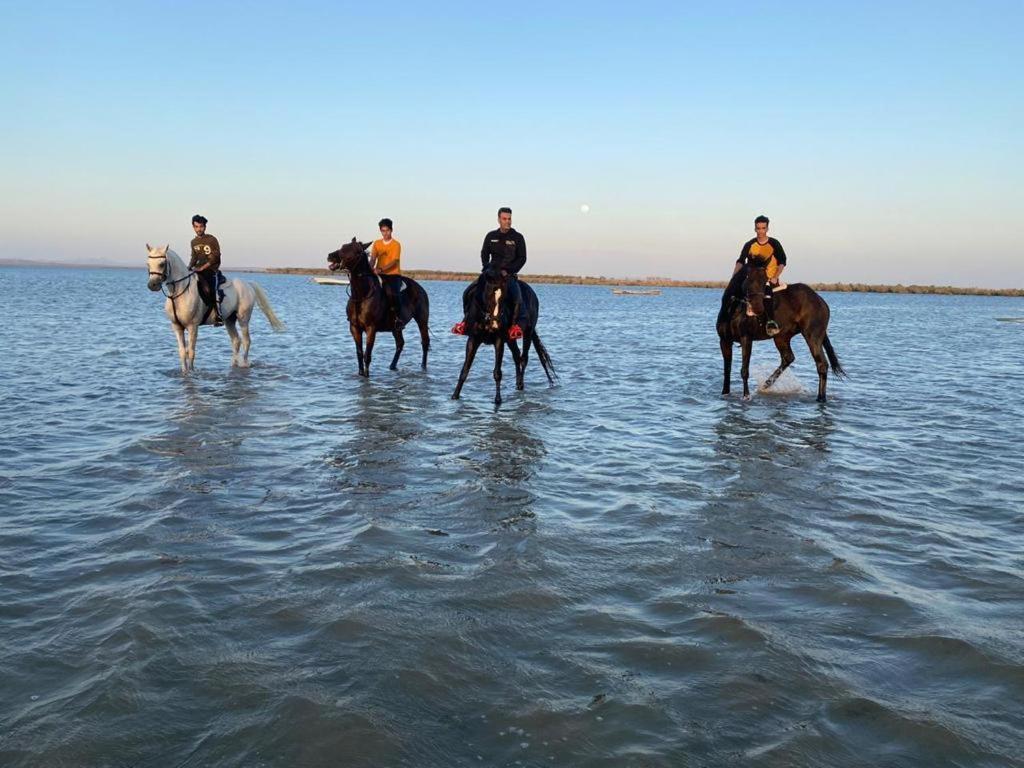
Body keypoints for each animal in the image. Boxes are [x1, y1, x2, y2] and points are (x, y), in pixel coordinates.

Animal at [145, 241, 284, 370]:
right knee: (236, 341)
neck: (179, 292)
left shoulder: (192, 326)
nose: (152, 285)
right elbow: (182, 352)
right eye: (148, 264)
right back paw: (233, 365)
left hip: (243, 318)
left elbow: (191, 352)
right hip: (229, 320)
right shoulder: (177, 327)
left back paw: (244, 364)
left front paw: (192, 372)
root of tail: (248, 284)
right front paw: (185, 372)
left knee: (246, 341)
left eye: (162, 264)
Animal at [323, 237, 428, 376]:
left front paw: (367, 375)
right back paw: (392, 366)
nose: (330, 256)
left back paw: (423, 367)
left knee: (425, 343)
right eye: (343, 246)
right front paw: (361, 374)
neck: (362, 295)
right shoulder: (354, 328)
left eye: (353, 250)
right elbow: (359, 353)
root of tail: (420, 288)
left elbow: (367, 355)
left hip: (422, 321)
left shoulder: (371, 328)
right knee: (400, 344)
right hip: (396, 328)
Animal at [452, 268, 557, 405]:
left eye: (504, 298)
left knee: (524, 358)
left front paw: (498, 400)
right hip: (511, 339)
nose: (496, 323)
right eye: (489, 294)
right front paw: (455, 396)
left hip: (528, 333)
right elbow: (465, 370)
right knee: (517, 355)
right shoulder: (473, 340)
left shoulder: (499, 340)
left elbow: (497, 372)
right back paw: (517, 384)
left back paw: (521, 385)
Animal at [716, 264, 843, 403]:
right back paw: (766, 385)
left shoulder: (746, 339)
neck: (733, 309)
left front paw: (746, 396)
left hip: (812, 337)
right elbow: (726, 369)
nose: (758, 309)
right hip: (781, 338)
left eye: (765, 283)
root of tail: (820, 300)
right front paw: (725, 393)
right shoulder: (724, 341)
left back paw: (821, 398)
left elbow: (744, 370)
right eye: (748, 279)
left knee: (821, 364)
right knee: (788, 358)